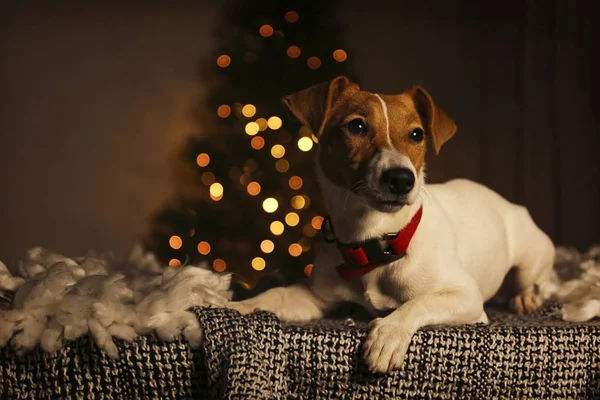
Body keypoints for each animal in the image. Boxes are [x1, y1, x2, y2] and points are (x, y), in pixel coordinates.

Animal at [227, 76, 556, 374]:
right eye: (357, 127)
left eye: (416, 134)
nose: (401, 179)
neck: (377, 239)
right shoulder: (316, 298)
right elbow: (275, 295)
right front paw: (235, 306)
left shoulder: (464, 295)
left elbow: (418, 303)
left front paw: (388, 333)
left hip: (530, 258)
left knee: (538, 279)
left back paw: (526, 297)